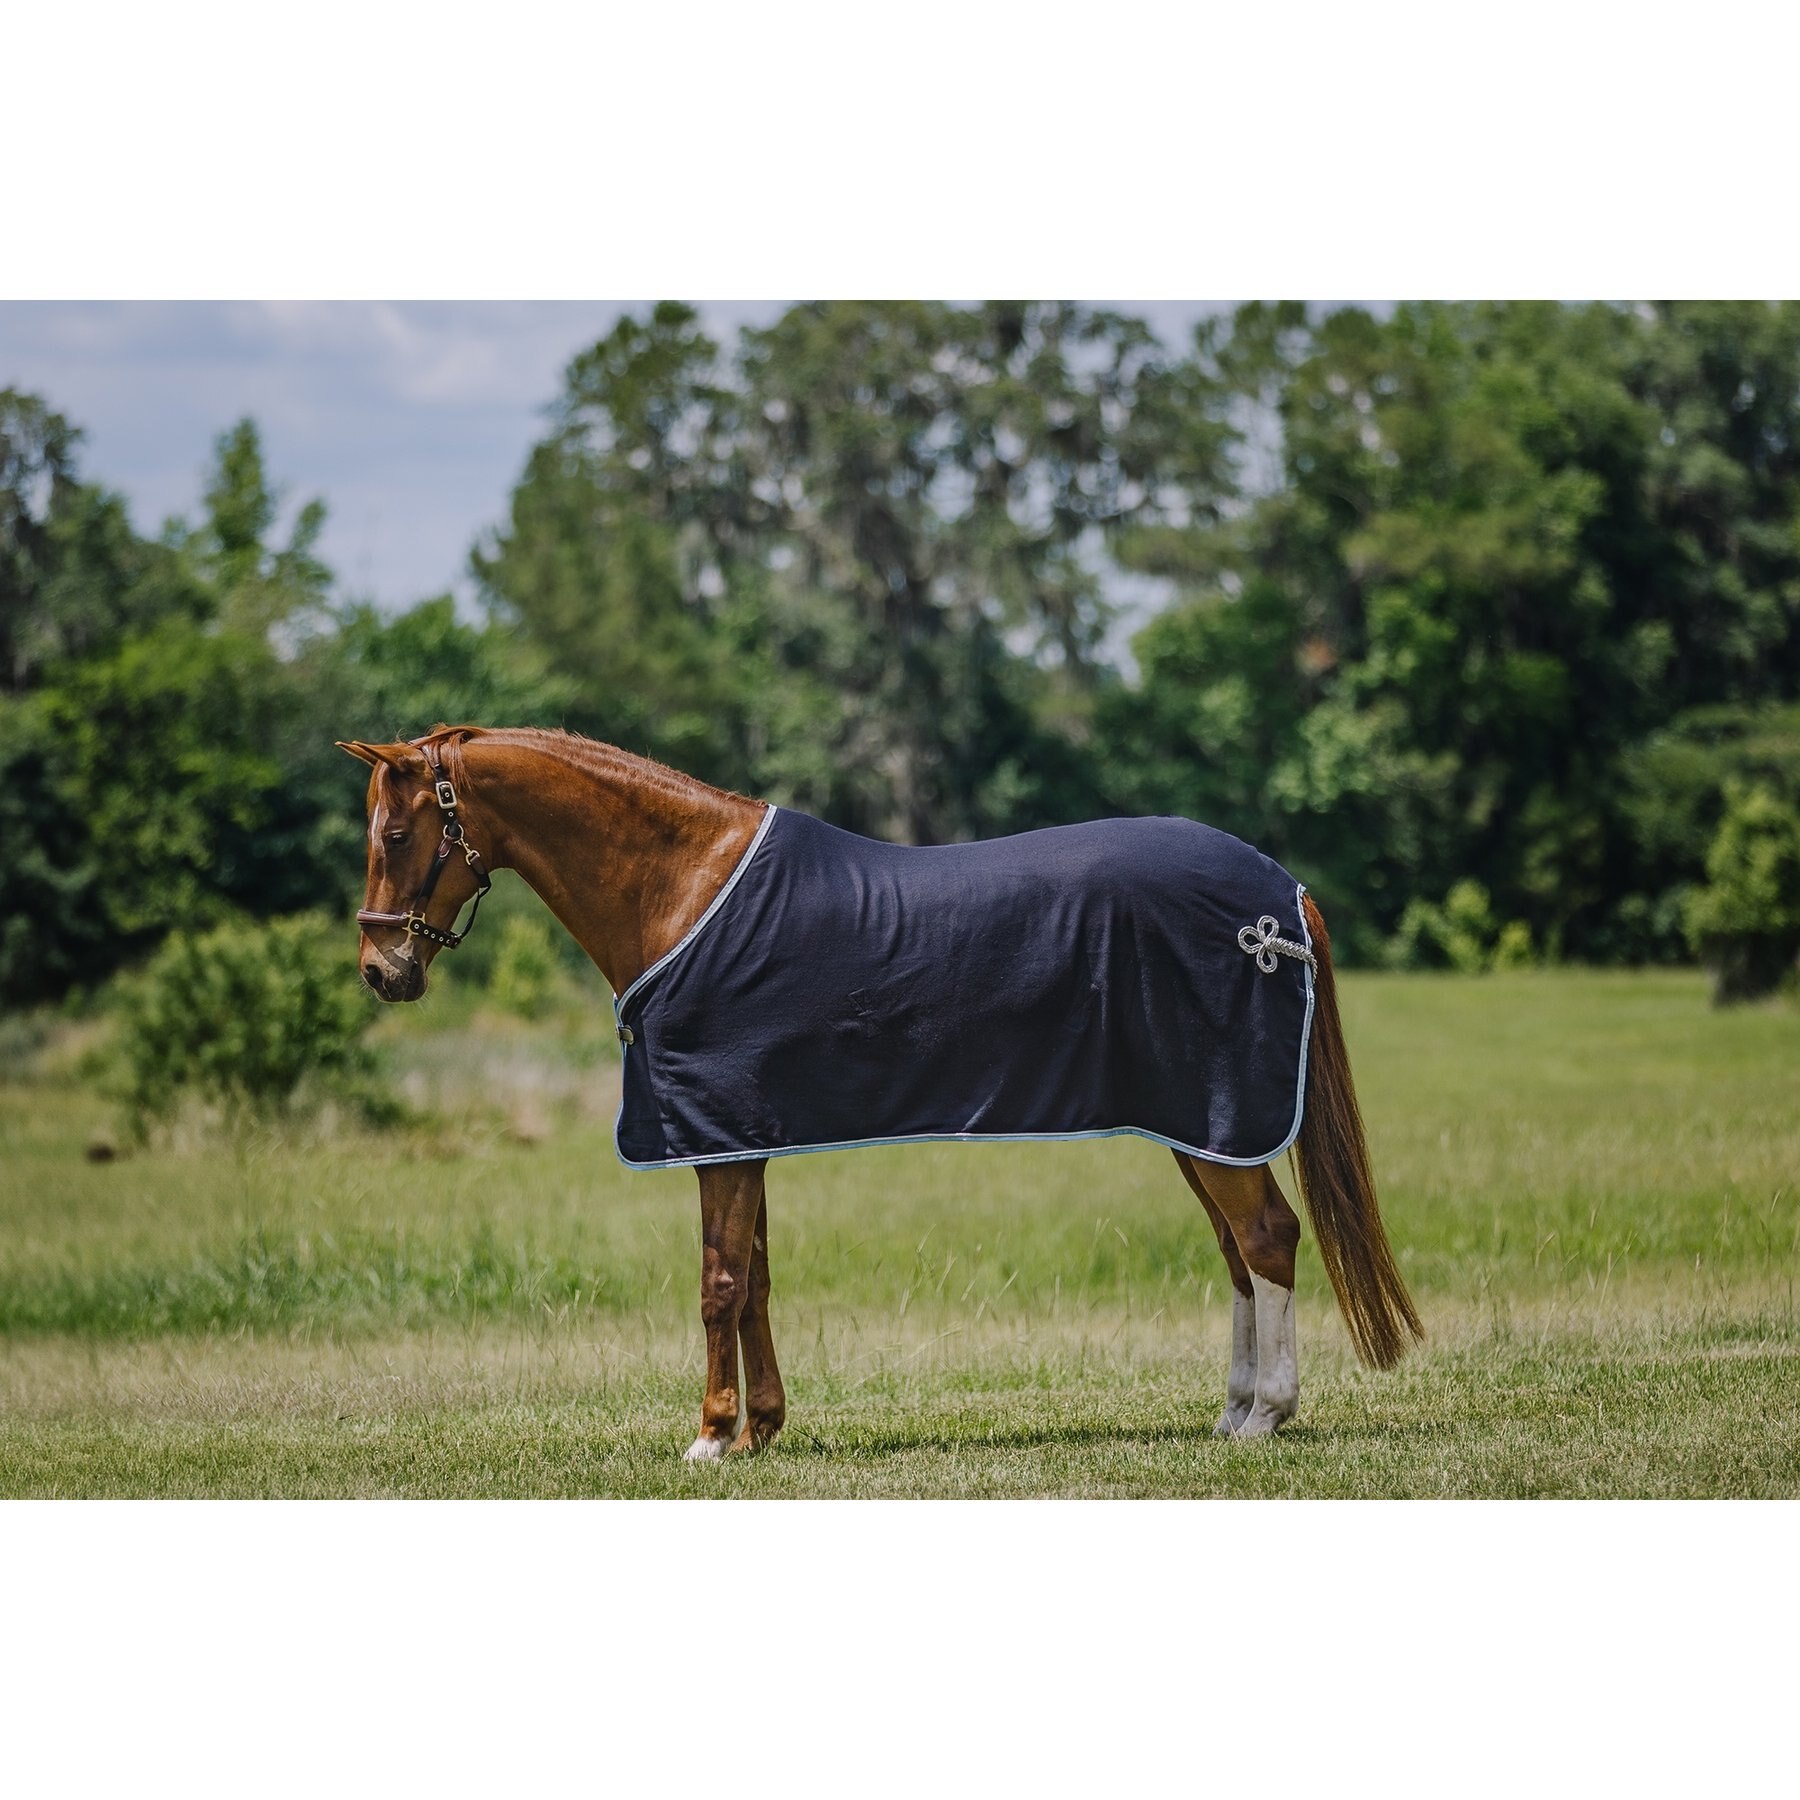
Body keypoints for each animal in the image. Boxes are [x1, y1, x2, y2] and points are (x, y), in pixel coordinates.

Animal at [339, 724, 1421, 1458]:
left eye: (394, 834)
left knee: (1267, 1238)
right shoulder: (741, 1132)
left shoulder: (714, 1132)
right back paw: (1233, 1411)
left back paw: (1266, 1415)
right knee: (1242, 1252)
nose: (382, 972)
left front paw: (709, 1437)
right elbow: (755, 1279)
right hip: (1200, 1126)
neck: (684, 886)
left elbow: (717, 1283)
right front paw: (762, 1431)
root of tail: (1282, 897)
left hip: (1217, 1118)